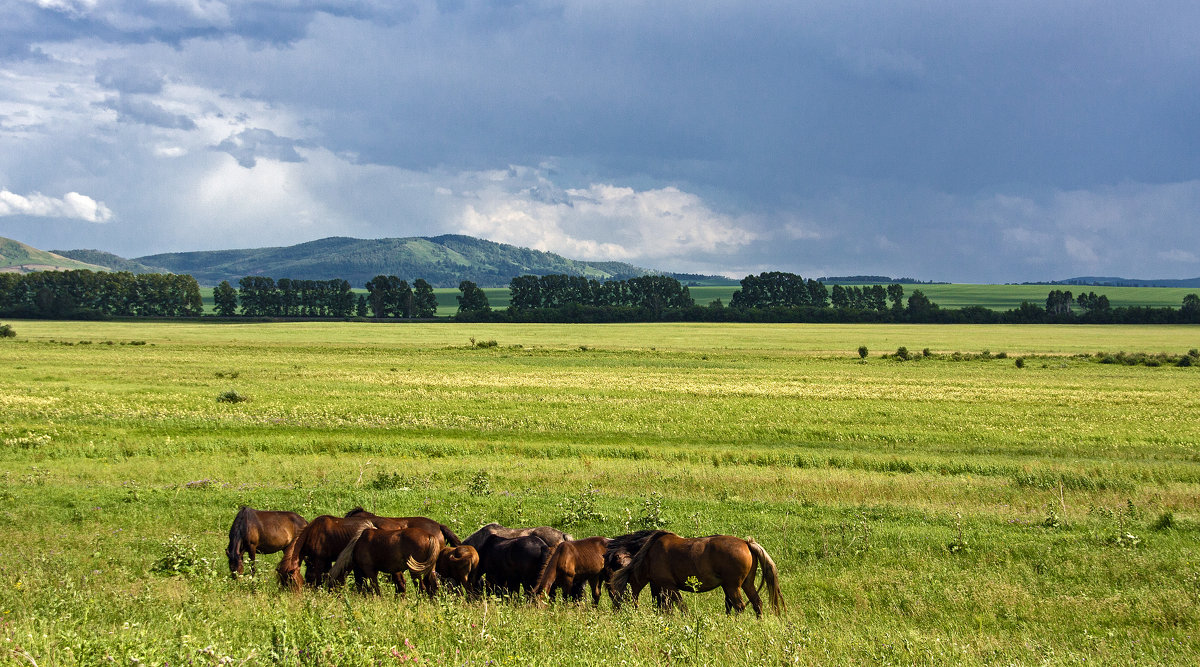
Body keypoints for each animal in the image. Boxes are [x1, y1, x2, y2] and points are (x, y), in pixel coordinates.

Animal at [609, 527, 787, 619]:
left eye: (617, 593)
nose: (617, 613)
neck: (648, 555)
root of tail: (747, 543)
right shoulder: (660, 587)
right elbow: (664, 608)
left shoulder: (669, 587)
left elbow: (681, 607)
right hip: (746, 584)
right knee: (757, 604)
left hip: (732, 586)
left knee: (739, 606)